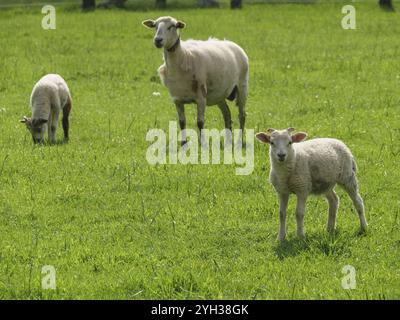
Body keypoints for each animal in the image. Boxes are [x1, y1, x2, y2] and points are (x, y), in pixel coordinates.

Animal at [142, 15, 248, 144]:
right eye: (155, 26)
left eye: (172, 26)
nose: (157, 40)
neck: (184, 57)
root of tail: (232, 44)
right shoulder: (177, 99)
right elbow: (182, 122)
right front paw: (183, 143)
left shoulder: (201, 97)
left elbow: (200, 122)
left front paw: (202, 144)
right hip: (219, 94)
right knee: (227, 114)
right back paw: (228, 141)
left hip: (242, 86)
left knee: (242, 115)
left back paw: (239, 141)